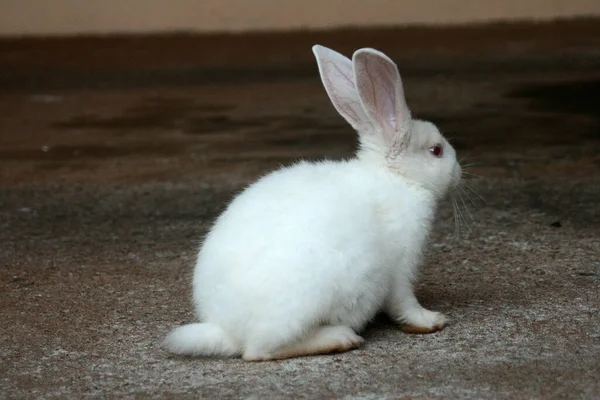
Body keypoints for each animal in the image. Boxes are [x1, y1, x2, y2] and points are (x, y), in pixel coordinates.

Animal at [164, 44, 464, 362]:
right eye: (436, 150)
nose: (459, 172)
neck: (395, 177)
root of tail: (226, 330)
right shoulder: (400, 268)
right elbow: (404, 302)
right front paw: (432, 320)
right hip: (304, 301)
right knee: (260, 350)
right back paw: (339, 338)